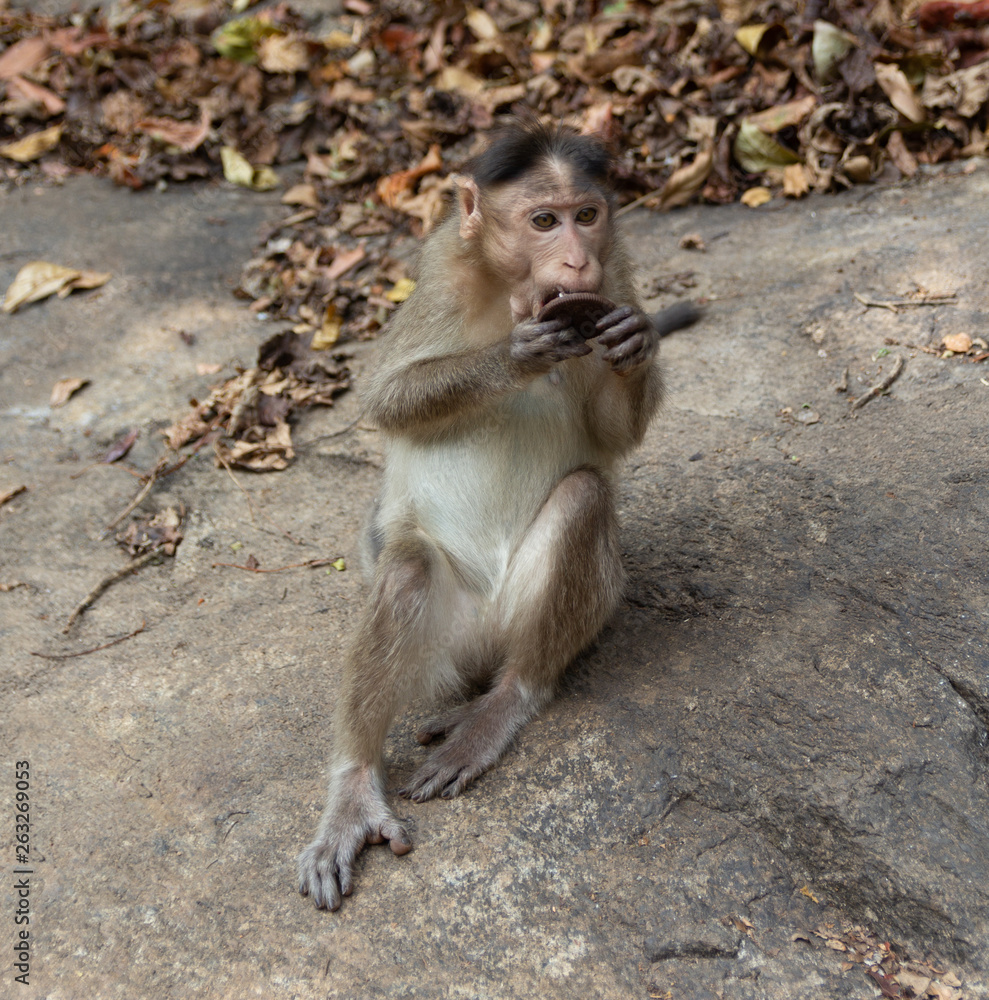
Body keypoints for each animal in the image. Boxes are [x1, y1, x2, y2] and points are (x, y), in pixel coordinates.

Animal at [297, 116, 698, 911]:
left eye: (587, 215)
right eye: (543, 221)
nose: (575, 258)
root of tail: (483, 653)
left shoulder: (618, 274)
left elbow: (609, 440)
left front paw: (634, 343)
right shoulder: (439, 270)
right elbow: (386, 398)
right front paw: (518, 353)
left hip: (531, 619)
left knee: (582, 499)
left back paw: (503, 704)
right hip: (443, 648)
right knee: (406, 569)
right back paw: (354, 788)